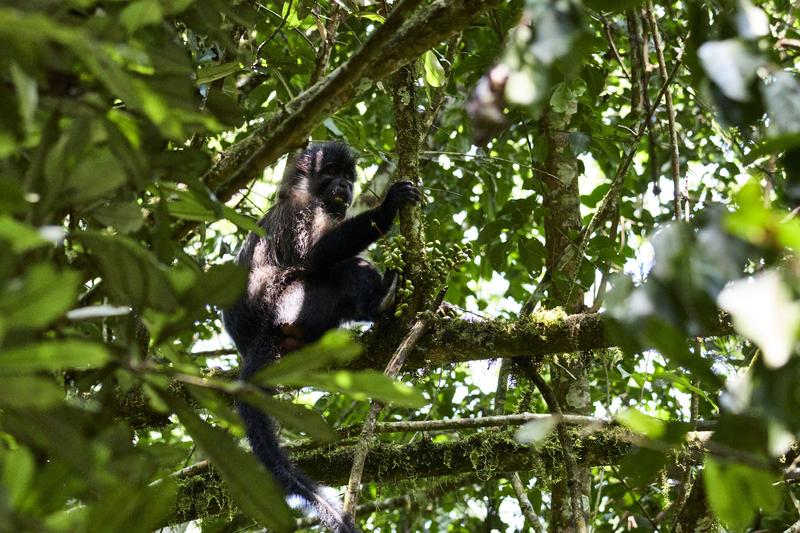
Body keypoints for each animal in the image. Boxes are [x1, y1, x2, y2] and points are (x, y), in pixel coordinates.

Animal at [219, 142, 418, 532]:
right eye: (331, 173)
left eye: (347, 176)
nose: (343, 186)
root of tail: (253, 339)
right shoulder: (302, 208)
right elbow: (315, 254)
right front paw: (387, 207)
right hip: (292, 302)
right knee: (343, 269)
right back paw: (379, 300)